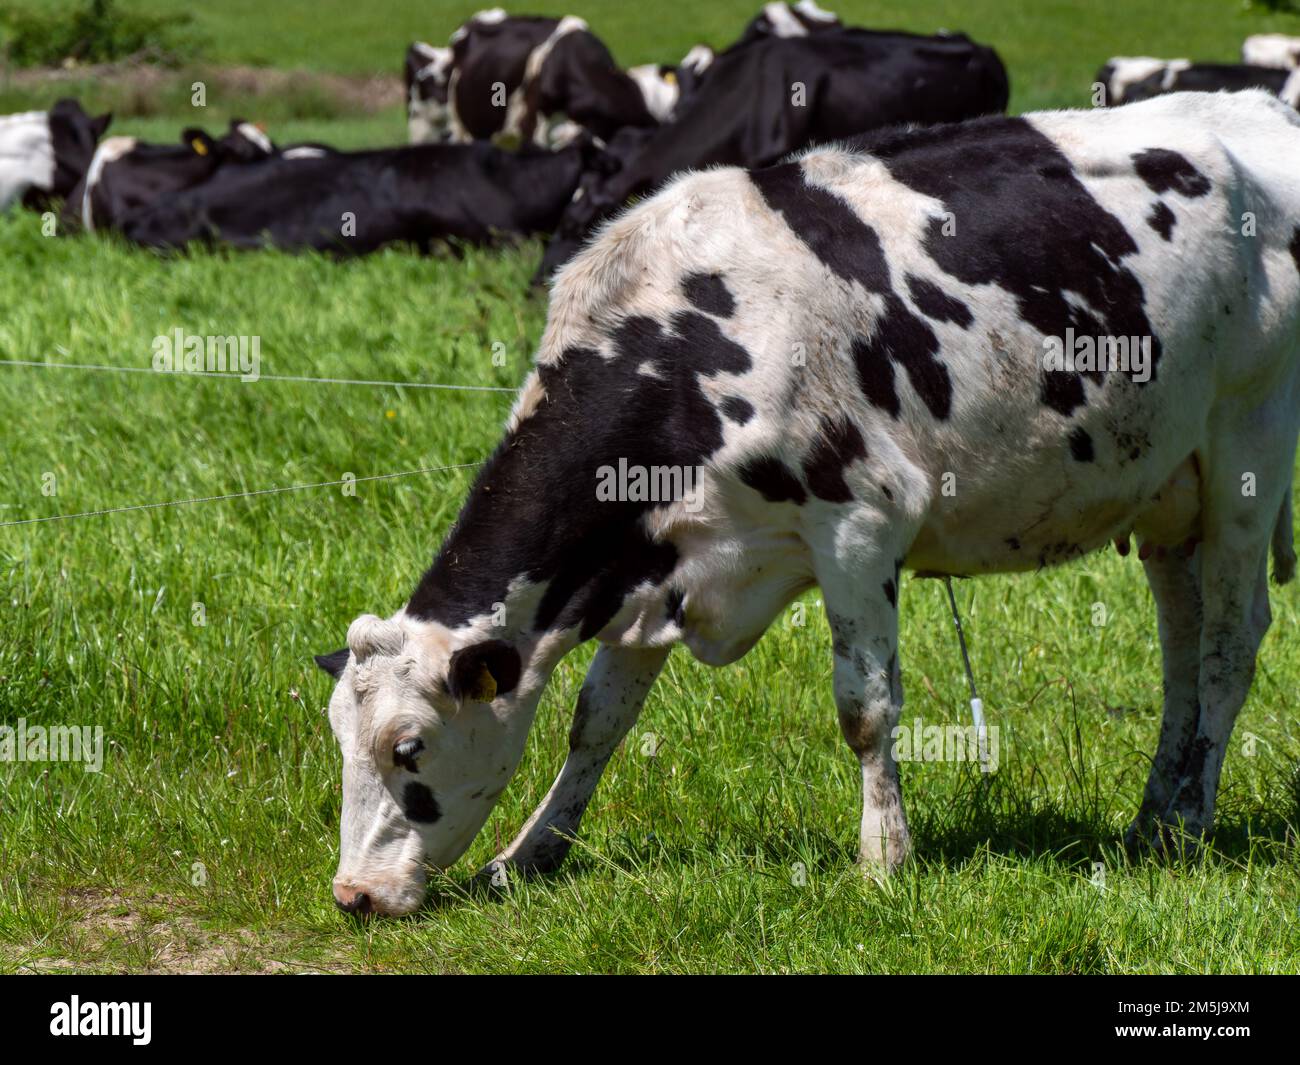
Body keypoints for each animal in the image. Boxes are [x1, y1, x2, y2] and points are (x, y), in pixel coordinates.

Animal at [312, 91, 1300, 915]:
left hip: (1248, 451)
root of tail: (1256, 105)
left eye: (409, 747)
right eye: (338, 742)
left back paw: (1192, 819)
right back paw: (1153, 817)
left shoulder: (860, 521)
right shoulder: (654, 559)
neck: (686, 347)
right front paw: (530, 852)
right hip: (1169, 489)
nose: (355, 894)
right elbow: (596, 719)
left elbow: (865, 706)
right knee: (1181, 648)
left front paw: (883, 860)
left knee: (1229, 642)